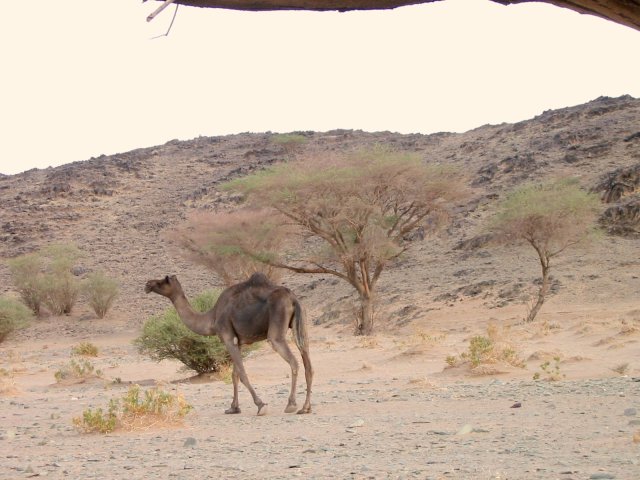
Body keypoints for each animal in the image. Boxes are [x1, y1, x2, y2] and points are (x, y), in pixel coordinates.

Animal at [146, 272, 316, 414]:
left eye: (163, 280)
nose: (148, 284)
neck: (212, 318)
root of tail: (293, 299)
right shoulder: (238, 342)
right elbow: (235, 374)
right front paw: (233, 408)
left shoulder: (227, 338)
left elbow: (242, 373)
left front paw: (260, 405)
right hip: (301, 325)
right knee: (308, 362)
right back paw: (305, 407)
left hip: (276, 329)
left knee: (293, 361)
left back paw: (291, 404)